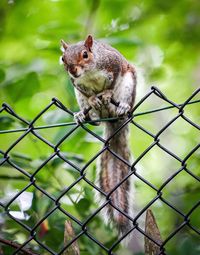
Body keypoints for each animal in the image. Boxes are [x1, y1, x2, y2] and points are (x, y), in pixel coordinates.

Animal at [60, 35, 137, 235]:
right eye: (63, 58)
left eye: (85, 54)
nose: (73, 70)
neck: (88, 73)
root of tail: (111, 119)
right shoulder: (77, 85)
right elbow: (88, 94)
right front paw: (94, 98)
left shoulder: (114, 65)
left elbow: (112, 83)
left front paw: (107, 93)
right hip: (80, 98)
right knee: (92, 115)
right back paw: (85, 115)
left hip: (129, 84)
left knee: (122, 103)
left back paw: (121, 107)